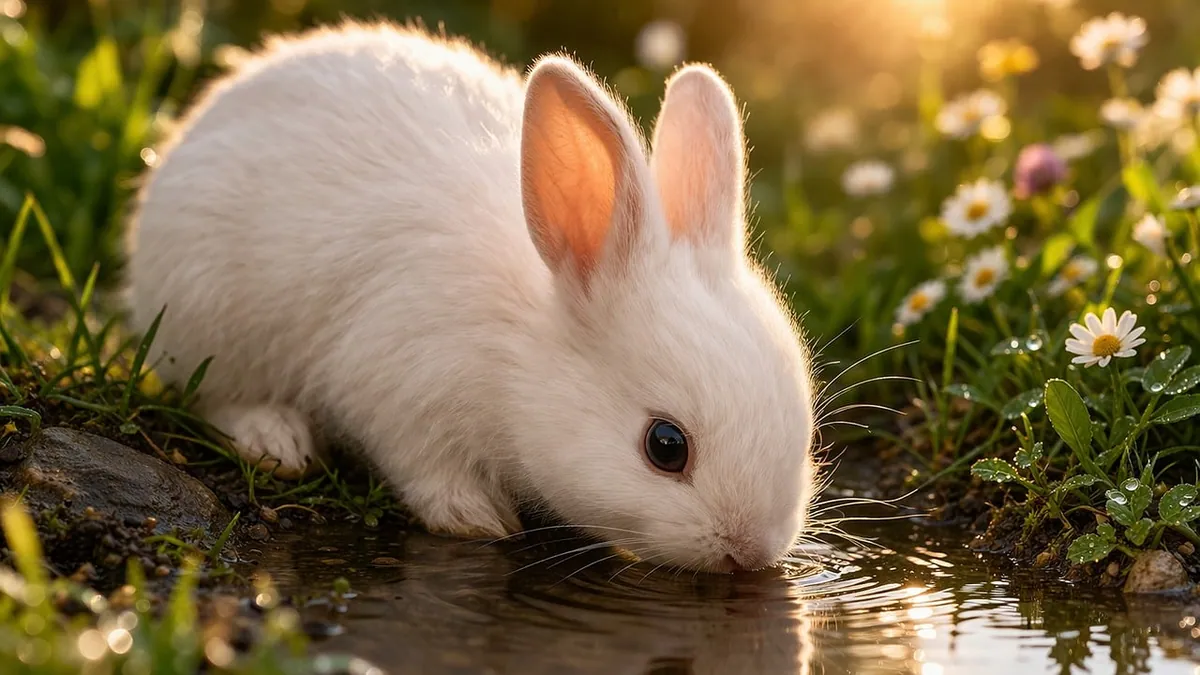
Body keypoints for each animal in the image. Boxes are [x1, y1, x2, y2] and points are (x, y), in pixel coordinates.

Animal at [125, 21, 818, 573]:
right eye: (665, 447)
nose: (751, 551)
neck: (513, 355)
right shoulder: (397, 392)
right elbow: (425, 469)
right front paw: (479, 519)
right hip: (209, 311)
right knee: (213, 392)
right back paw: (277, 441)